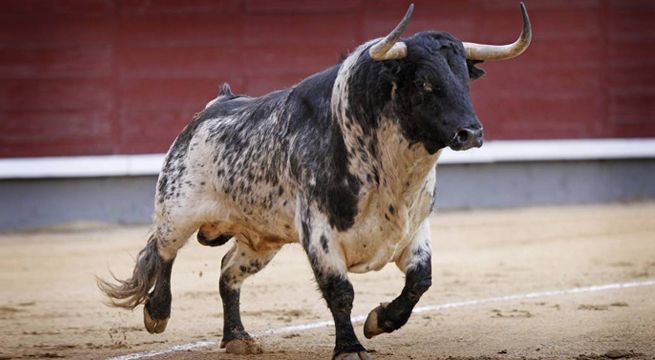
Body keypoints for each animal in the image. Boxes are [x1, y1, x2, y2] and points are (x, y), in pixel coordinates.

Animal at [98, 3, 532, 360]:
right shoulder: (320, 233)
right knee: (164, 252)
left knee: (227, 271)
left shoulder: (415, 228)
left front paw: (380, 321)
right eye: (424, 82)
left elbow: (419, 281)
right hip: (177, 209)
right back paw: (157, 314)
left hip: (261, 239)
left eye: (465, 78)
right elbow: (340, 292)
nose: (471, 133)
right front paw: (350, 348)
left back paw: (237, 338)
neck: (391, 172)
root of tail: (212, 106)